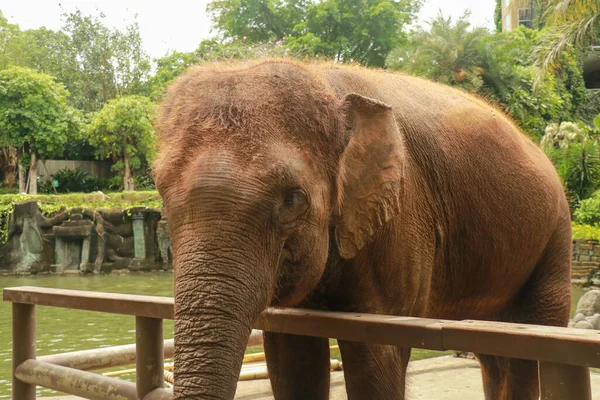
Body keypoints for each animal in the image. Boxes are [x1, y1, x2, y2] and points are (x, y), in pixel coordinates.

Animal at [154, 59, 572, 400]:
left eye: (292, 199)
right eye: (159, 191)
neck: (324, 82)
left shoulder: (402, 215)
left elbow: (375, 357)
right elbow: (291, 355)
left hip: (556, 231)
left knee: (533, 340)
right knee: (494, 350)